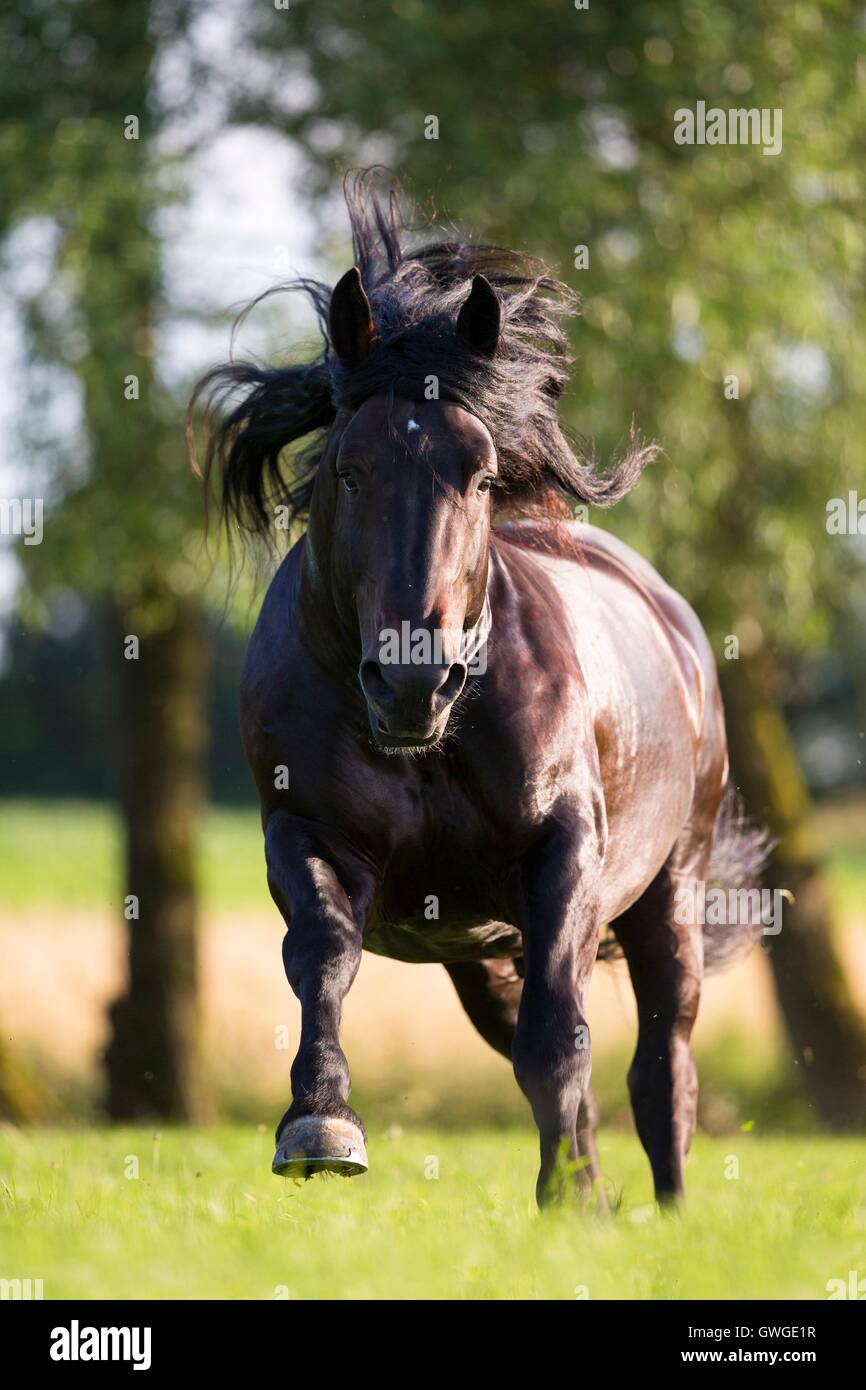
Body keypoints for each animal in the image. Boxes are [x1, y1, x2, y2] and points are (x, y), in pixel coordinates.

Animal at [193, 173, 767, 1206]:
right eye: (349, 470)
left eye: (482, 475)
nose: (412, 681)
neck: (432, 746)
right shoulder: (306, 832)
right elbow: (324, 956)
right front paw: (320, 1126)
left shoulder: (563, 852)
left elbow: (561, 1042)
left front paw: (565, 1205)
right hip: (478, 953)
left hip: (669, 889)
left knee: (660, 1064)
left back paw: (660, 1211)